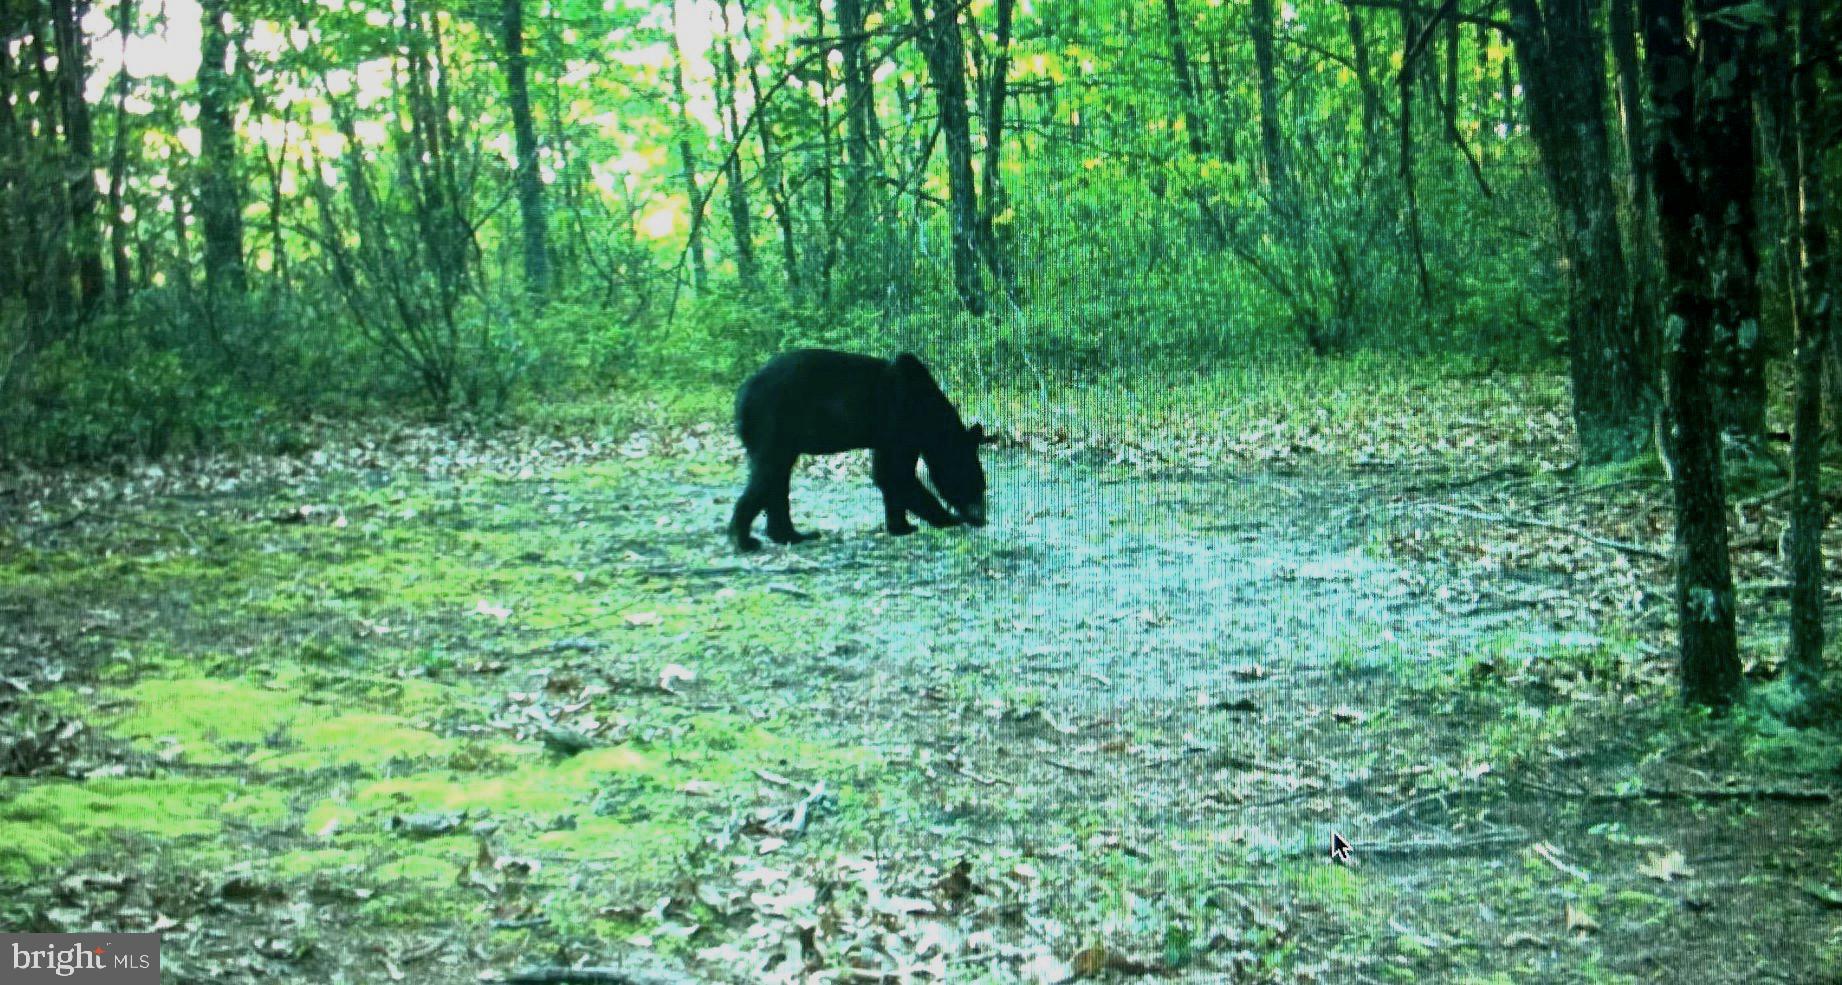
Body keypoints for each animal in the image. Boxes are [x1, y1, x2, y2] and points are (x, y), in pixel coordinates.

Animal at [728, 349, 996, 552]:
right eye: (976, 484)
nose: (981, 518)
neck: (926, 409)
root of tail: (741, 395)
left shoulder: (887, 436)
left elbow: (889, 475)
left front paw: (902, 526)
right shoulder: (899, 420)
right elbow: (895, 474)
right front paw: (947, 518)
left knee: (777, 478)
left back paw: (792, 534)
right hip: (773, 422)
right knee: (769, 472)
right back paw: (744, 538)